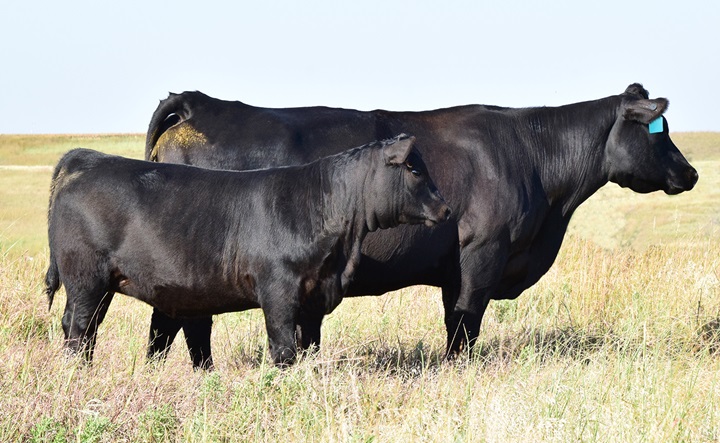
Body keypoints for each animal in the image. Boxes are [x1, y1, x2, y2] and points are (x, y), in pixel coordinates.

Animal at [44, 135, 451, 367]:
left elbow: (308, 347)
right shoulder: (279, 291)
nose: (446, 209)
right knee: (80, 328)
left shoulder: (313, 297)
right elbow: (283, 348)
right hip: (87, 279)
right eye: (415, 168)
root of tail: (87, 159)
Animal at [145, 83, 698, 369]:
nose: (691, 173)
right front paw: (457, 370)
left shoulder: (455, 266)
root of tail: (198, 102)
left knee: (168, 325)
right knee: (187, 324)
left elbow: (455, 319)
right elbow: (465, 324)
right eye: (659, 130)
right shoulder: (482, 252)